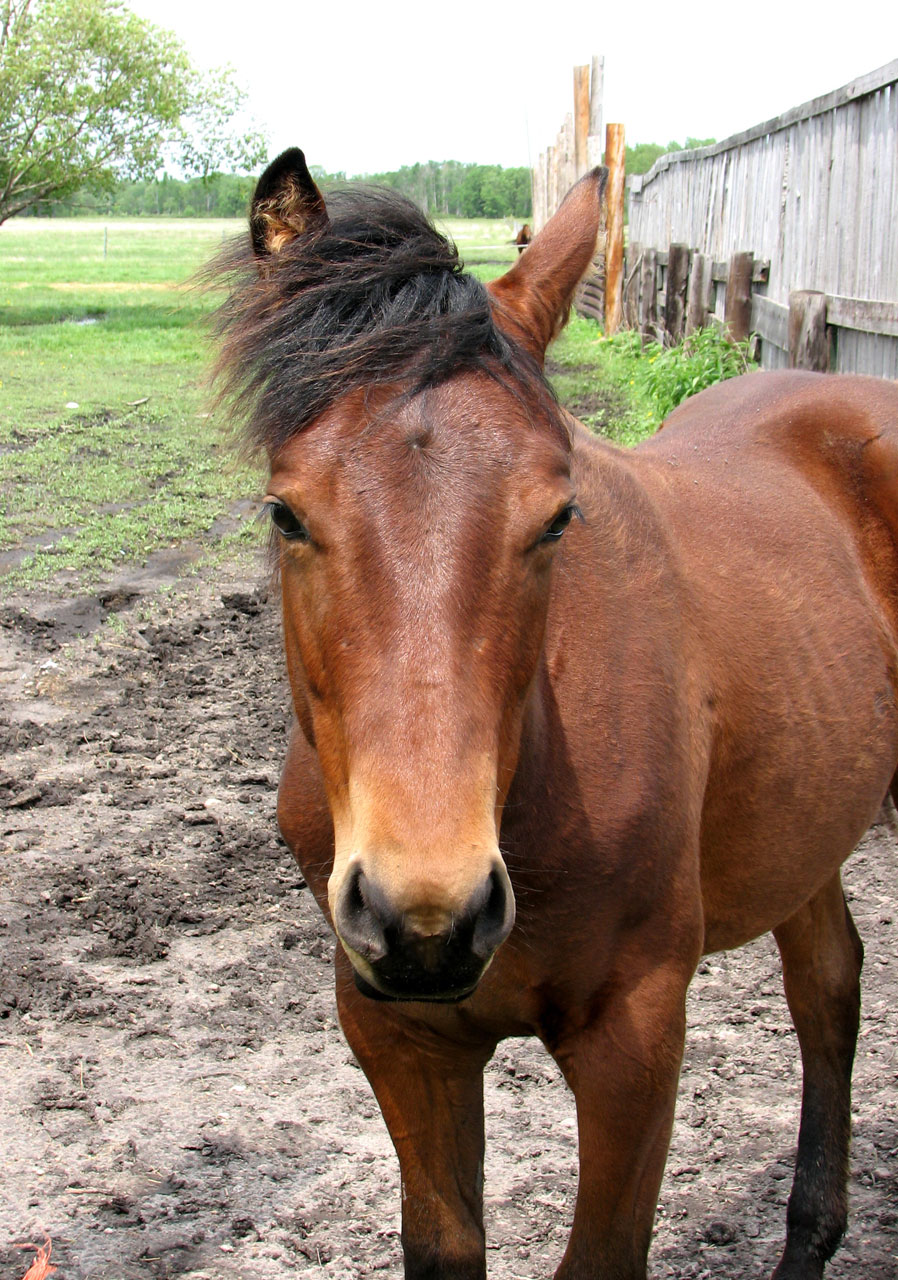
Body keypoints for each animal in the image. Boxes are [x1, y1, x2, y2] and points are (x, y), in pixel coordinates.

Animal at [212, 145, 898, 1274]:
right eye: (284, 512)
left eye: (557, 516)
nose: (429, 917)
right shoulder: (399, 1032)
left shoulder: (636, 1034)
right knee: (827, 984)